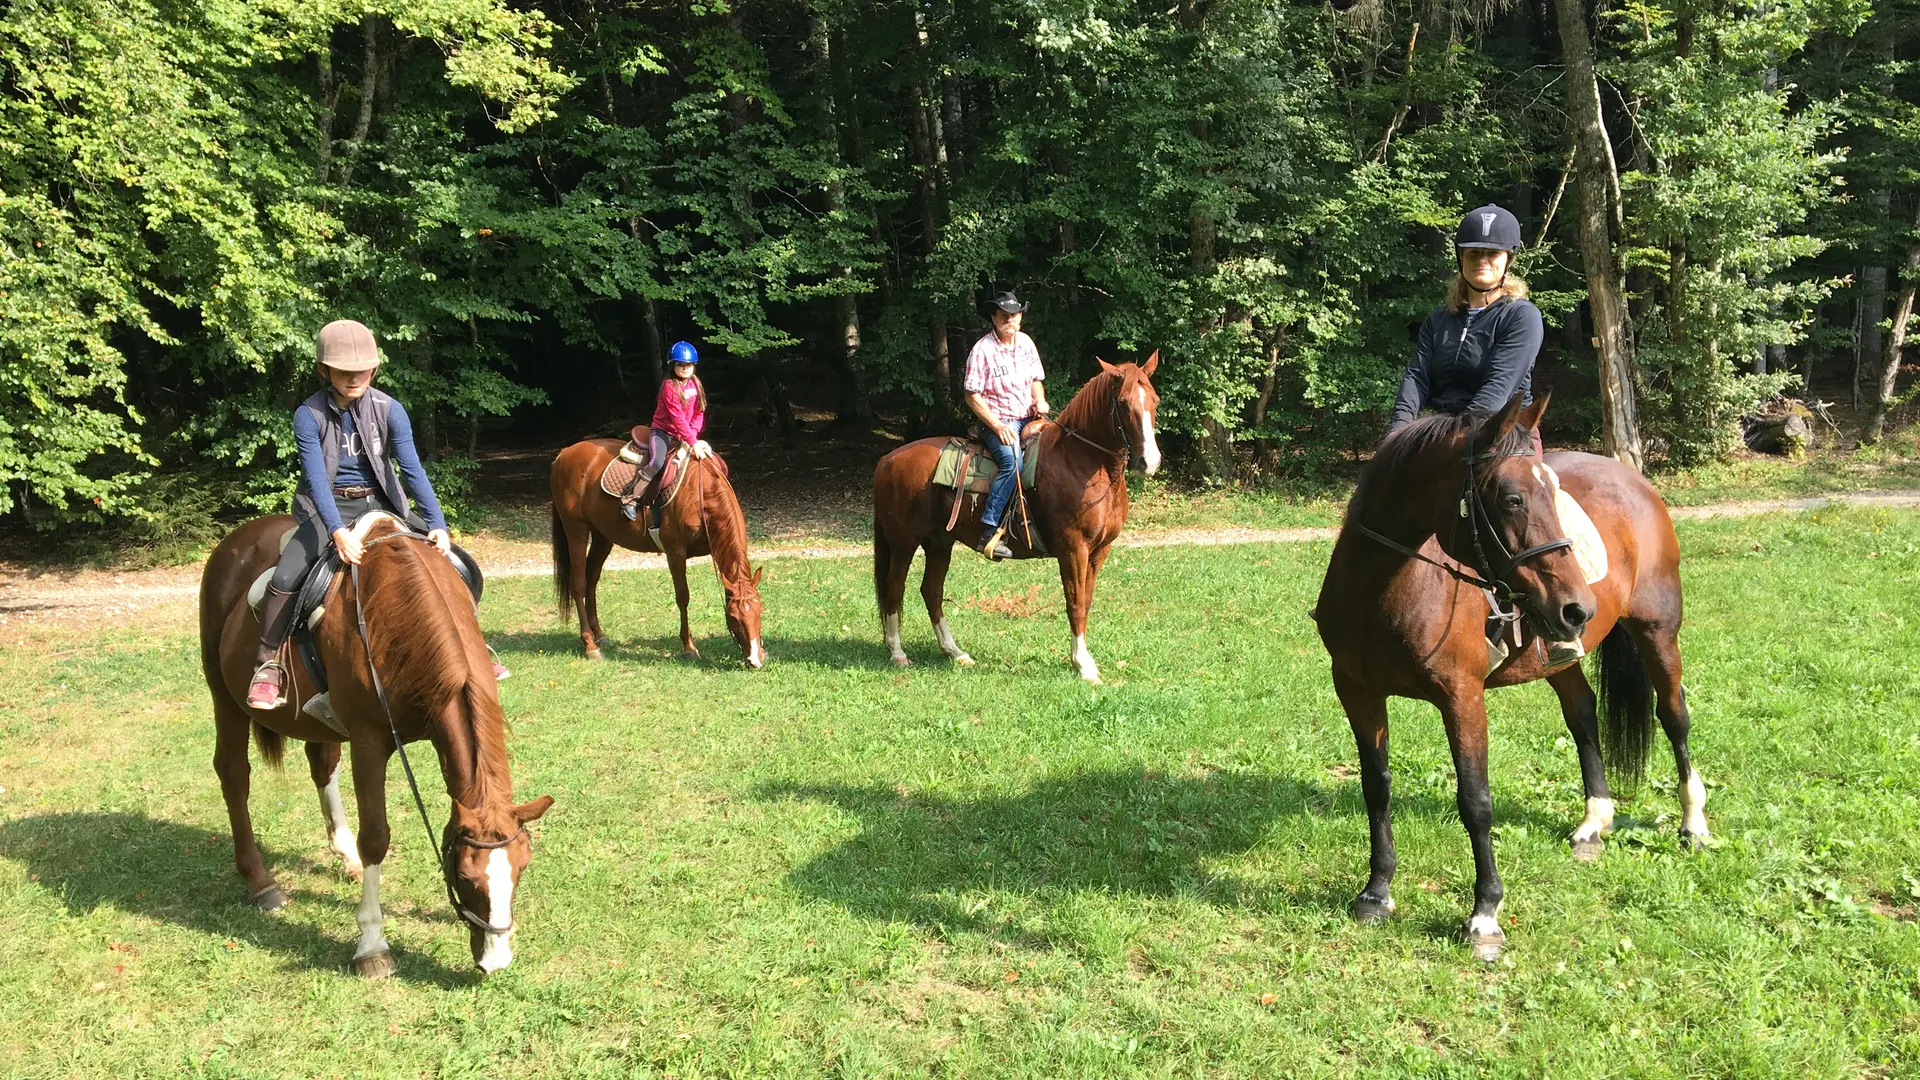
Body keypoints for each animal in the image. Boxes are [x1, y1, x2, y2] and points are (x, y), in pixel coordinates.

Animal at [197, 511, 552, 976]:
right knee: (234, 774)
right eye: (464, 875)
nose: (496, 961)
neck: (397, 620)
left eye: (521, 869)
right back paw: (260, 881)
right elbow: (377, 838)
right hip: (224, 696)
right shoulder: (369, 741)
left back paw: (345, 856)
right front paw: (372, 944)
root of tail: (237, 539)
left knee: (322, 764)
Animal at [549, 430, 764, 664]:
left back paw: (600, 636)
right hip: (576, 529)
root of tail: (564, 454)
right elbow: (683, 597)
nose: (755, 660)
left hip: (602, 535)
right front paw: (689, 647)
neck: (700, 494)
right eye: (734, 617)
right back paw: (590, 645)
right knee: (578, 584)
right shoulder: (675, 552)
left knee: (592, 578)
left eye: (760, 611)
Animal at [875, 353, 1167, 676]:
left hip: (939, 542)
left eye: (1155, 400)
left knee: (931, 591)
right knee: (894, 587)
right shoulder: (1073, 549)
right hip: (903, 542)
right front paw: (1083, 665)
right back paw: (898, 652)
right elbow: (1075, 602)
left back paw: (955, 651)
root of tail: (887, 460)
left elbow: (1086, 600)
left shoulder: (1099, 550)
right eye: (1124, 403)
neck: (1081, 462)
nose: (1149, 461)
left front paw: (1084, 659)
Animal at [1320, 393, 1712, 957]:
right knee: (1583, 714)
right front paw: (1376, 893)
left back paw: (1693, 824)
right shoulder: (1356, 690)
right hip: (1560, 650)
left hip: (1657, 629)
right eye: (1511, 500)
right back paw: (1594, 823)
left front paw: (1484, 915)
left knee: (1674, 716)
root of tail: (1632, 477)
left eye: (1548, 493)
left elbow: (1476, 802)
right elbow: (1376, 787)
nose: (1580, 607)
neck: (1384, 590)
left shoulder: (1462, 698)